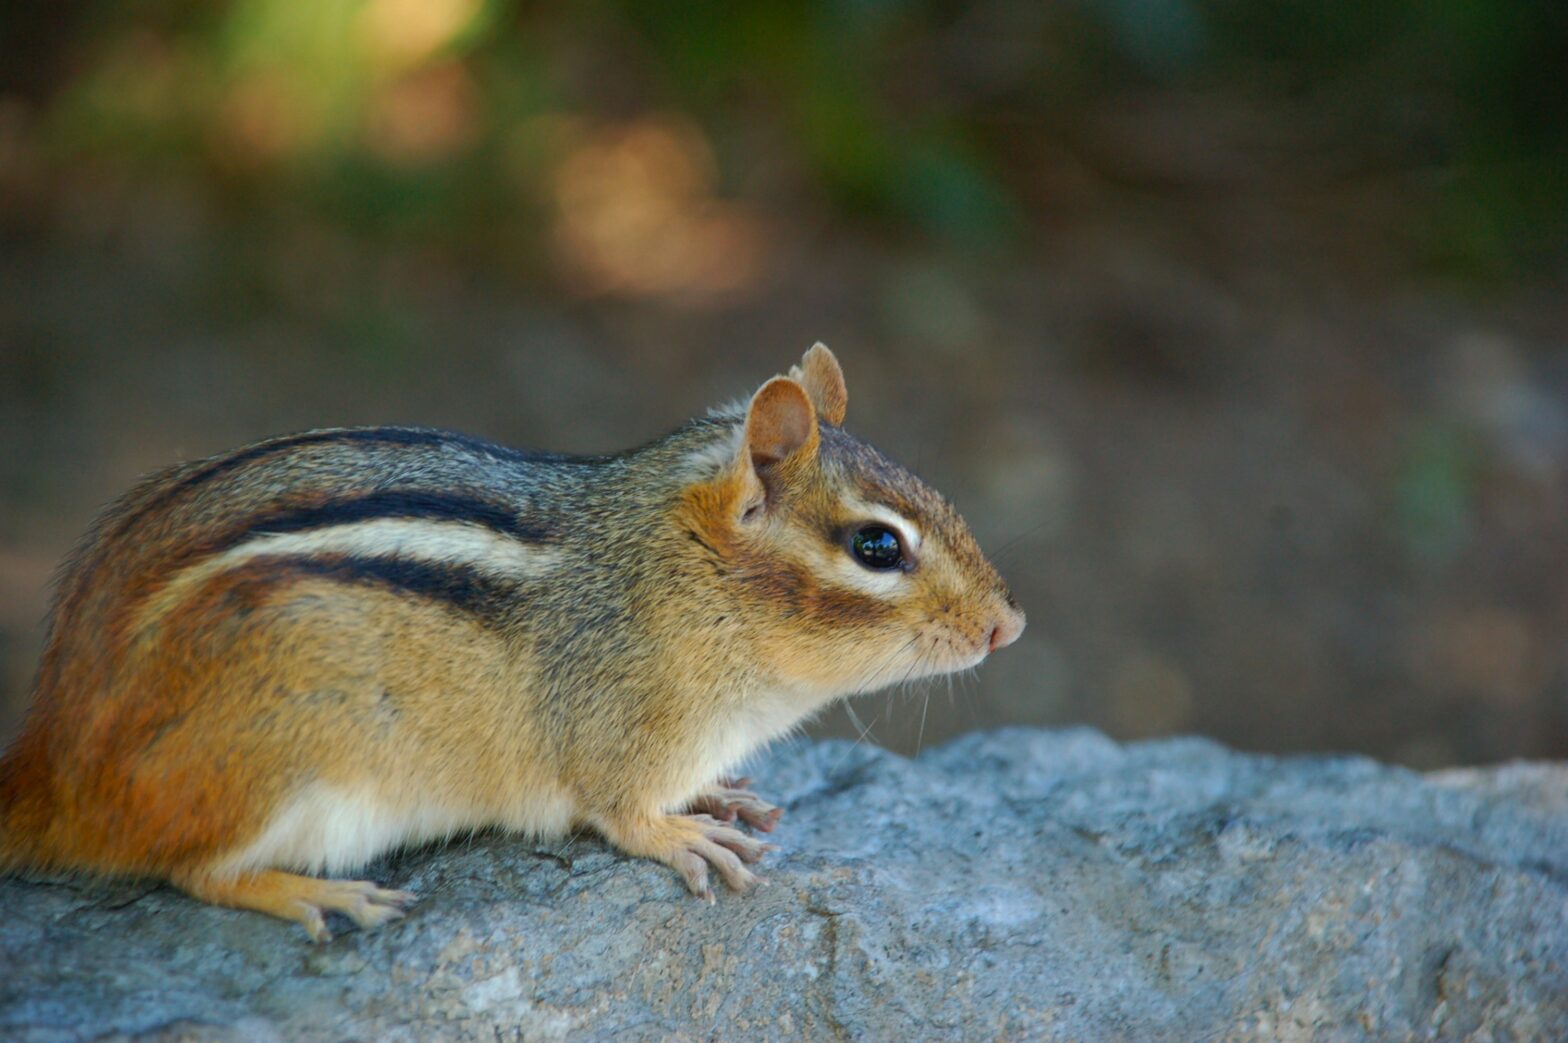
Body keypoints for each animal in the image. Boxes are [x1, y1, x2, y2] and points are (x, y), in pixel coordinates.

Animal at [0, 344, 1024, 941]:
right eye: (877, 546)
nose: (1008, 624)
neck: (674, 574)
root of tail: (56, 767)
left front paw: (719, 792)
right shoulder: (623, 733)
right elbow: (622, 812)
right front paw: (681, 831)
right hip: (271, 765)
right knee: (193, 867)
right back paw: (311, 893)